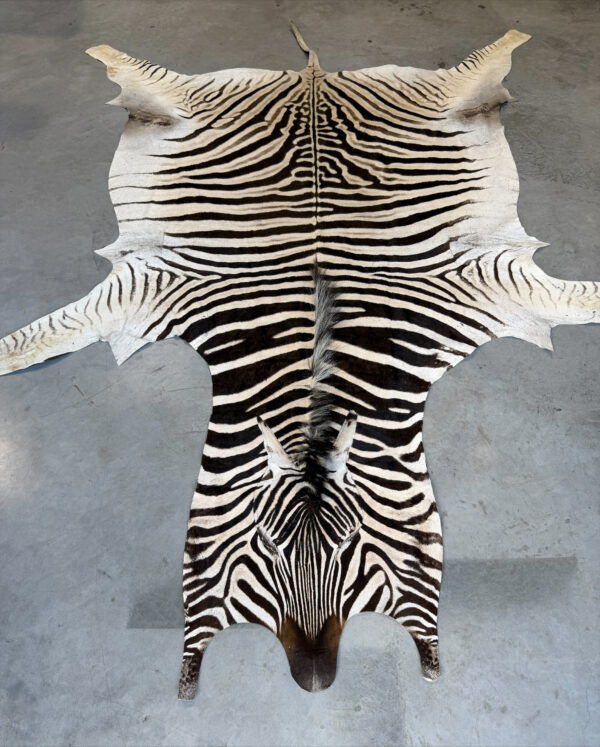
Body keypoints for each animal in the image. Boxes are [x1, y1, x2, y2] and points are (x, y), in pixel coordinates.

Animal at [0, 26, 598, 700]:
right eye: (263, 547)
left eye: (353, 547)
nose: (315, 681)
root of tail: (312, 77)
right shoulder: (149, 289)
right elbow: (43, 335)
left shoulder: (496, 284)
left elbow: (581, 298)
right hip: (190, 102)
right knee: (148, 82)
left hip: (436, 97)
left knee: (477, 71)